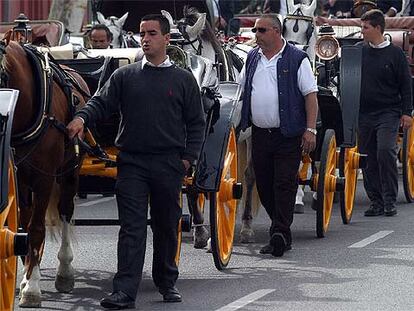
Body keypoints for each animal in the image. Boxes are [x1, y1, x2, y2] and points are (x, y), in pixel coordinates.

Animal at [0, 35, 90, 308]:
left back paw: (65, 272)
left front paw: (32, 289)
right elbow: (23, 227)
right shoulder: (17, 179)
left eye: (1, 74)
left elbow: (37, 229)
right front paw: (27, 279)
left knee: (65, 211)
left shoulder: (44, 179)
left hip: (69, 172)